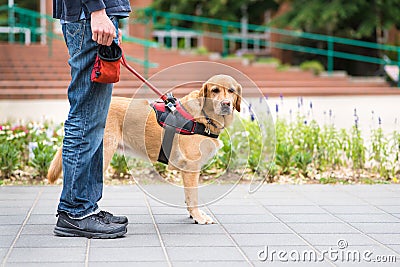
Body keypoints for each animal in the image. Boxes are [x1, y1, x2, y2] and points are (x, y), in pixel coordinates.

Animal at [47, 74, 241, 225]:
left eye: (232, 91)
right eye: (215, 90)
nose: (226, 104)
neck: (204, 117)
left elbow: (188, 196)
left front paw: (192, 215)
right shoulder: (191, 168)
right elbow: (193, 197)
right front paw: (198, 217)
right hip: (101, 156)